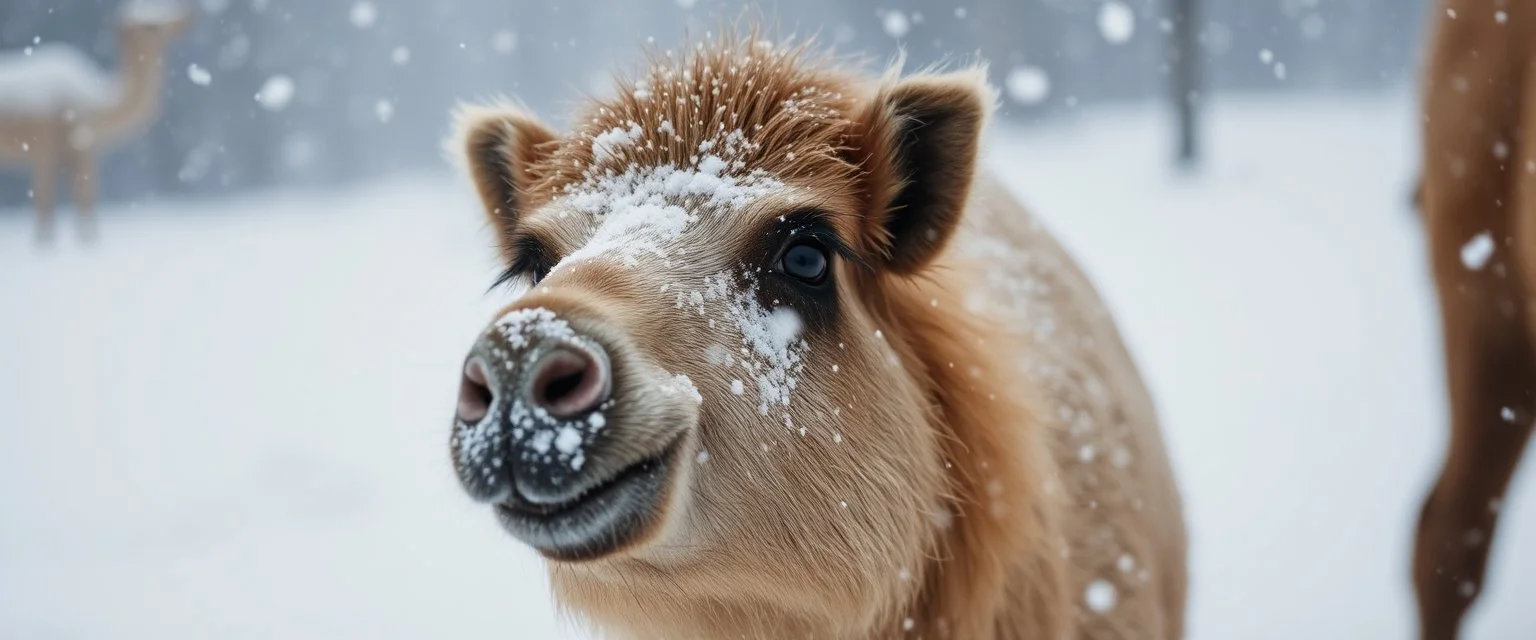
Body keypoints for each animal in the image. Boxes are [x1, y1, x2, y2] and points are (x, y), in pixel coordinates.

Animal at [0, 1, 191, 242]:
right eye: (151, 27)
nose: (188, 19)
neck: (97, 104)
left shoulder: (69, 153)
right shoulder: (55, 149)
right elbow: (66, 206)